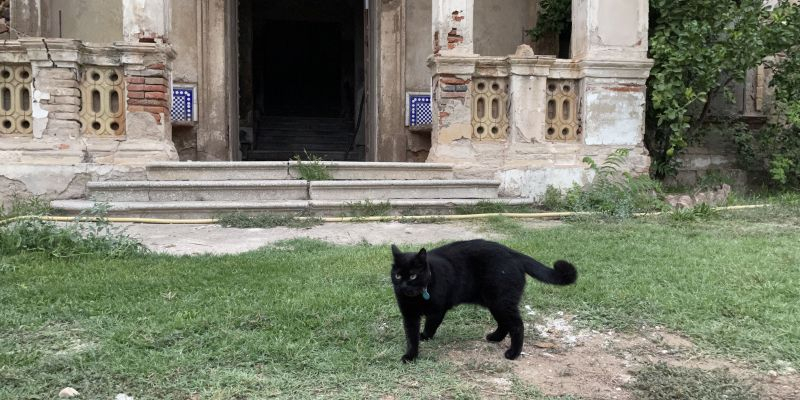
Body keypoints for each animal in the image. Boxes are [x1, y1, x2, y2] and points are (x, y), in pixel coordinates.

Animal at [390, 239, 580, 364]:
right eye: (398, 275)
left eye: (413, 276)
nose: (403, 285)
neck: (416, 297)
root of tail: (513, 253)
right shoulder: (409, 316)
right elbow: (411, 337)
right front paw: (411, 355)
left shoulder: (438, 310)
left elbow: (430, 325)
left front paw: (425, 336)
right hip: (495, 303)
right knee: (505, 323)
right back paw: (495, 337)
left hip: (501, 301)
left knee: (517, 325)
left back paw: (513, 353)